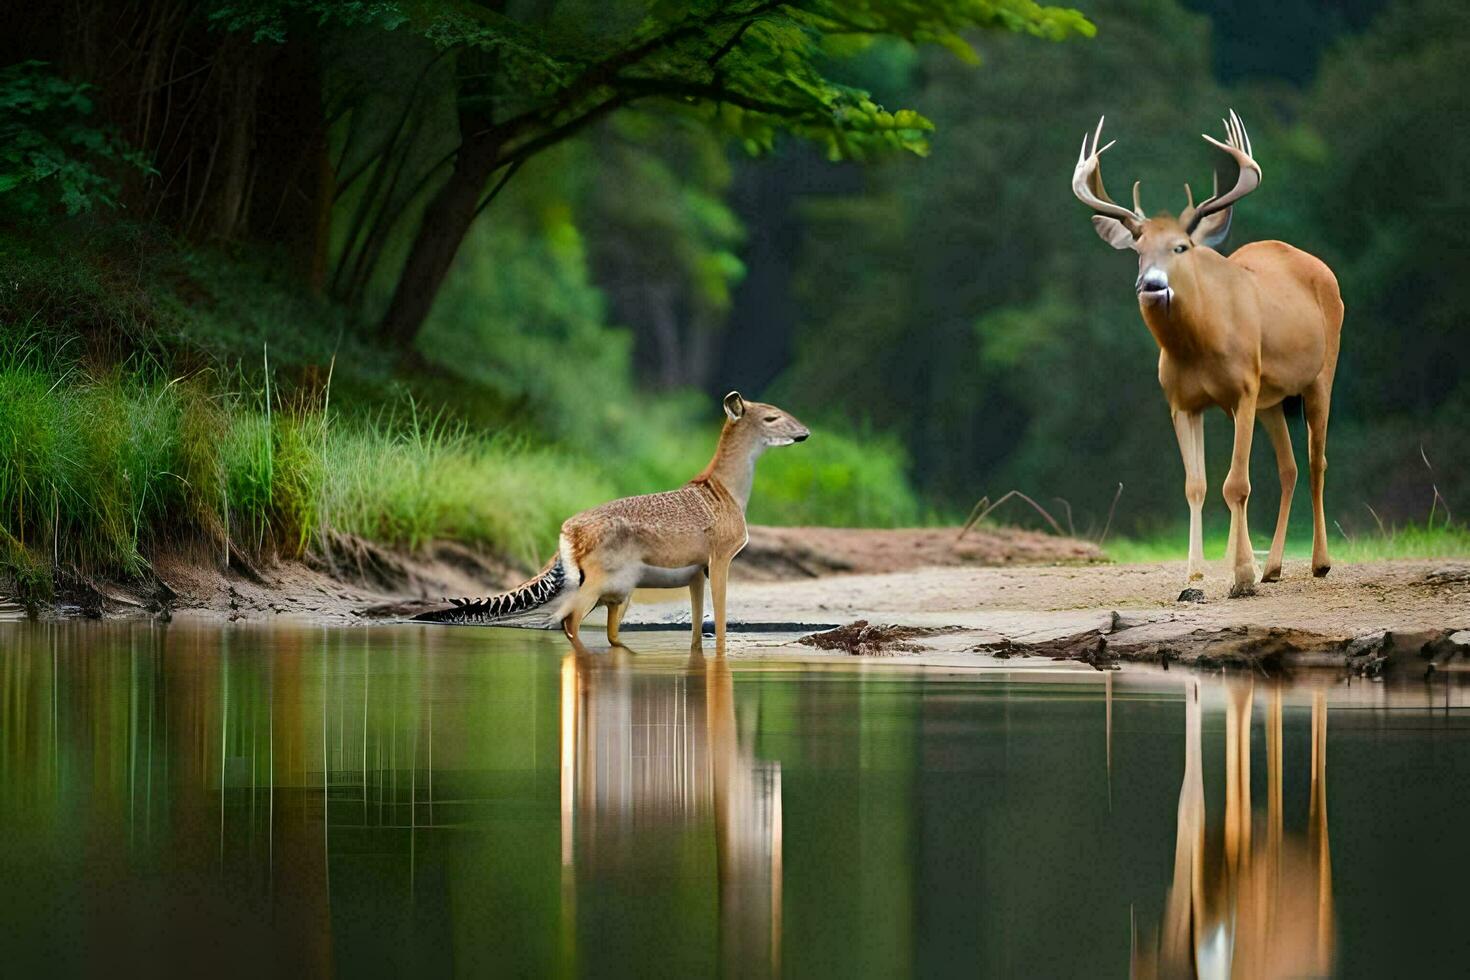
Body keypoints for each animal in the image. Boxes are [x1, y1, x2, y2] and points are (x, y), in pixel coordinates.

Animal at [414, 390, 811, 652]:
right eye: (772, 418)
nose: (804, 433)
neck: (727, 490)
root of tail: (566, 529)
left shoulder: (697, 573)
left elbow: (699, 628)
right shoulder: (720, 561)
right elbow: (723, 623)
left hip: (617, 594)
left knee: (596, 630)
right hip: (596, 588)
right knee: (565, 622)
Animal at [1070, 107, 1346, 599]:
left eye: (1180, 247)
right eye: (1137, 250)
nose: (1151, 284)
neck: (1199, 348)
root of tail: (1316, 264)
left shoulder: (1244, 389)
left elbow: (1235, 485)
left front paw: (1240, 577)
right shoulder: (1183, 402)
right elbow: (1196, 486)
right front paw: (1195, 576)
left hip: (1321, 374)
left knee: (1317, 461)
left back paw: (1318, 563)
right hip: (1273, 398)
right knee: (1290, 467)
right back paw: (1273, 567)